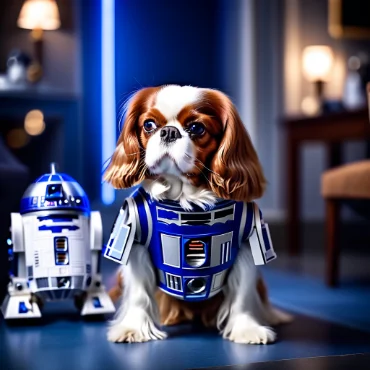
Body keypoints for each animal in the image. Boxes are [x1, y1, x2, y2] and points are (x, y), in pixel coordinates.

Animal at [102, 84, 290, 344]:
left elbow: (243, 293)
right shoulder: (135, 238)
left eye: (196, 128)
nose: (169, 132)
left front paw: (247, 329)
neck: (186, 200)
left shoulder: (246, 242)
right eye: (149, 125)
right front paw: (133, 328)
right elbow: (139, 293)